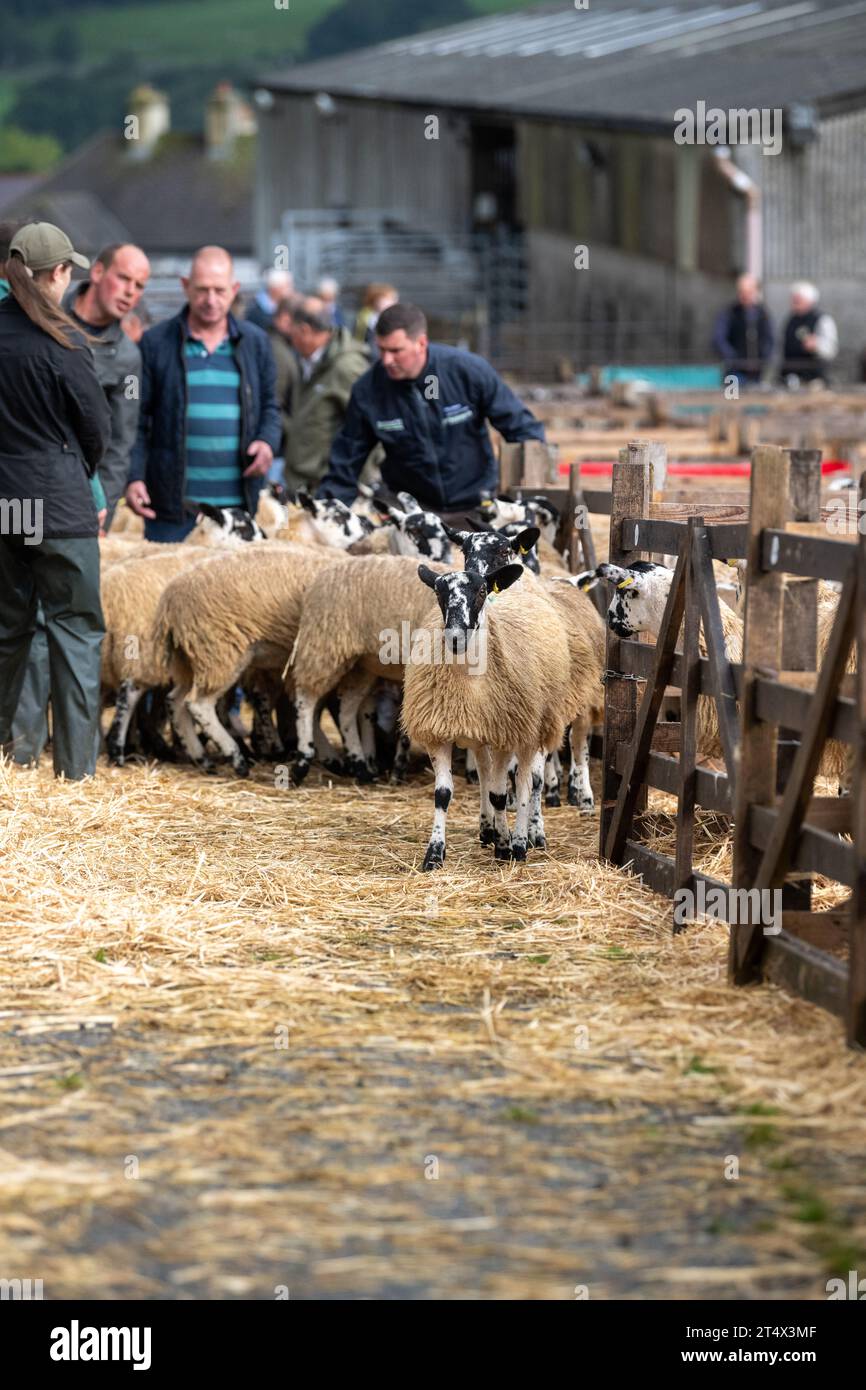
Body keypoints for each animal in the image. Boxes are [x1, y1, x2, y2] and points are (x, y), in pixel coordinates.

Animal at [155, 542, 348, 778]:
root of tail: (170, 599)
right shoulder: (322, 657)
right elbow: (312, 705)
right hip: (220, 651)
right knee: (198, 703)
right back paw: (236, 758)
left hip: (187, 658)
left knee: (175, 700)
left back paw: (202, 758)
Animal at [400, 564, 575, 867]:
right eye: (438, 591)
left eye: (481, 591)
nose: (455, 637)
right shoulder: (440, 731)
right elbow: (443, 794)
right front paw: (434, 853)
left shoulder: (506, 733)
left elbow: (501, 794)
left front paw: (506, 847)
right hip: (483, 732)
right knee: (485, 772)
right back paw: (487, 829)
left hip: (535, 728)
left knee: (528, 783)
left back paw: (524, 840)